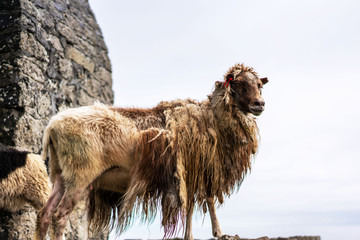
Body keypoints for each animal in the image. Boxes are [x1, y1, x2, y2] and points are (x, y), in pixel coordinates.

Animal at [35, 62, 268, 239]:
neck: (209, 118)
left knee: (44, 214)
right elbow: (201, 202)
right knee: (59, 215)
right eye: (238, 84)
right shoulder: (194, 168)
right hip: (80, 173)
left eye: (259, 85)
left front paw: (204, 233)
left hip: (60, 174)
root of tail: (51, 127)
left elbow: (195, 204)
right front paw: (215, 232)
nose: (260, 104)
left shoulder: (193, 172)